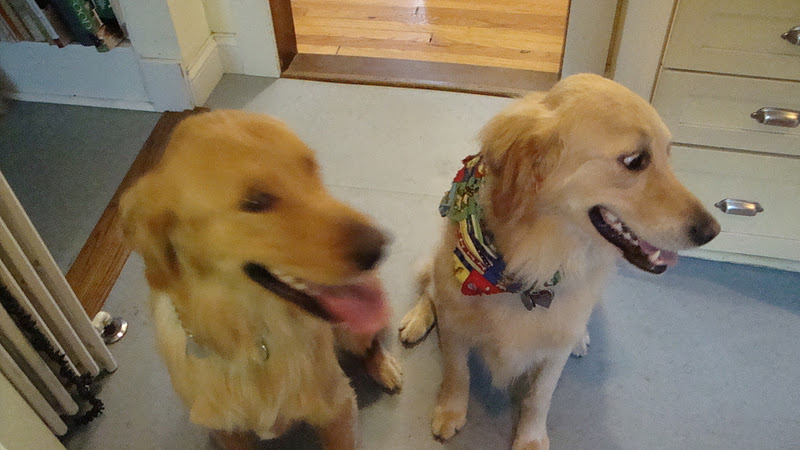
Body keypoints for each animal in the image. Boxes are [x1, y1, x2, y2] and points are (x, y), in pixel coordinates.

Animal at [120, 110, 403, 449]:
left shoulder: (338, 410)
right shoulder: (227, 433)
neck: (253, 340)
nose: (381, 246)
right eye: (255, 202)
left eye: (310, 167)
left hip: (351, 332)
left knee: (370, 341)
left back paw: (384, 366)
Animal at [398, 74, 720, 449]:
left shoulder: (553, 352)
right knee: (430, 289)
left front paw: (531, 439)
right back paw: (417, 318)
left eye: (669, 154)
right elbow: (456, 372)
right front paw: (450, 411)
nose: (713, 231)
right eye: (635, 160)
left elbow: (540, 397)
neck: (531, 267)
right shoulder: (455, 328)